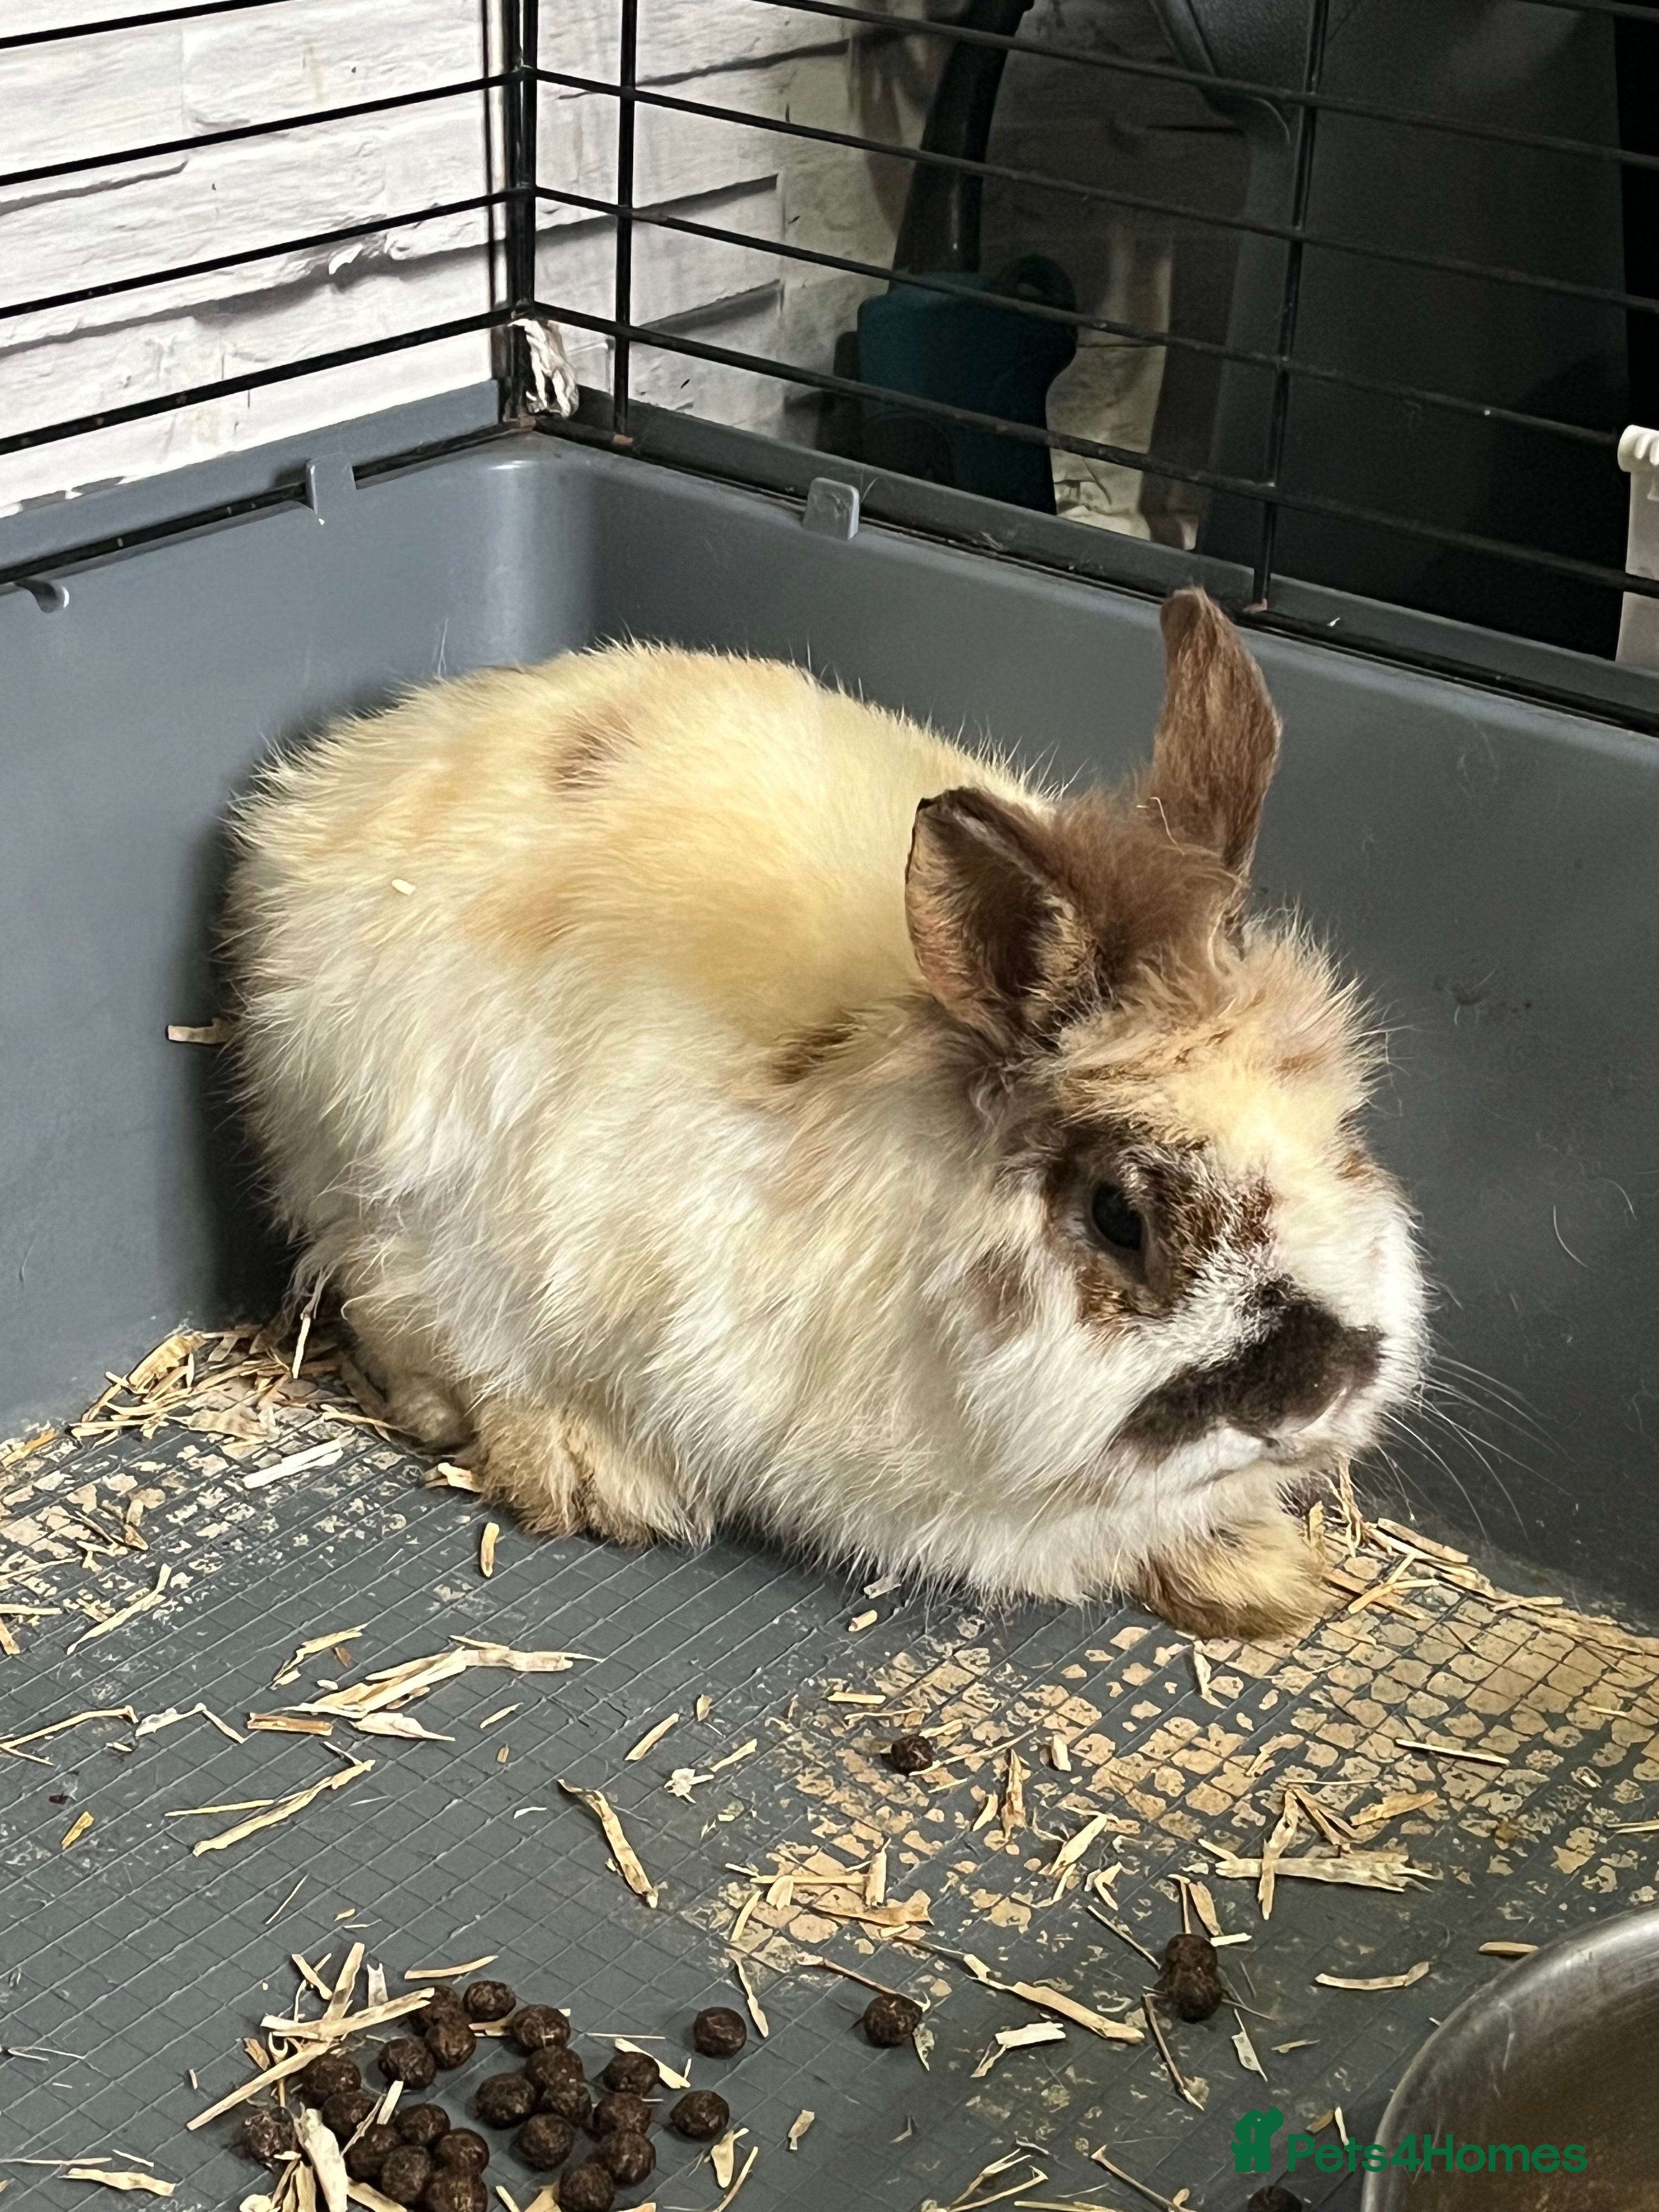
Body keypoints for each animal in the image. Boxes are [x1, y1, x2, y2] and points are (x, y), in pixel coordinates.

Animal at [226, 588, 1424, 1639]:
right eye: (1117, 1216)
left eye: (1346, 1136)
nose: (1310, 1394)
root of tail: (326, 787)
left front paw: (1260, 1579)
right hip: (407, 1209)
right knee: (414, 1332)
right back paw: (583, 1472)